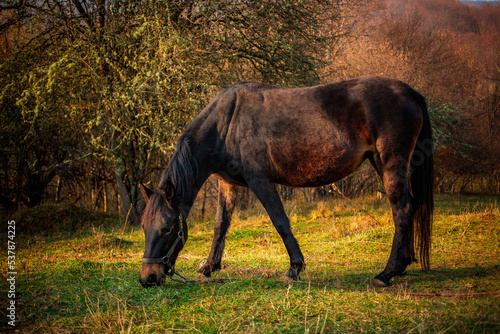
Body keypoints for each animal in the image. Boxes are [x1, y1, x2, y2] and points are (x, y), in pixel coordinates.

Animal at [138, 75, 434, 288]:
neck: (227, 123)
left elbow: (280, 221)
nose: (147, 278)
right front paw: (210, 267)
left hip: (390, 163)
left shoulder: (260, 181)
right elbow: (220, 226)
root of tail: (408, 91)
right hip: (380, 162)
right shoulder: (228, 185)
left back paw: (387, 273)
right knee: (408, 208)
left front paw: (295, 268)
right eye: (144, 227)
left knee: (402, 210)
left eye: (167, 228)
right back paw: (403, 265)